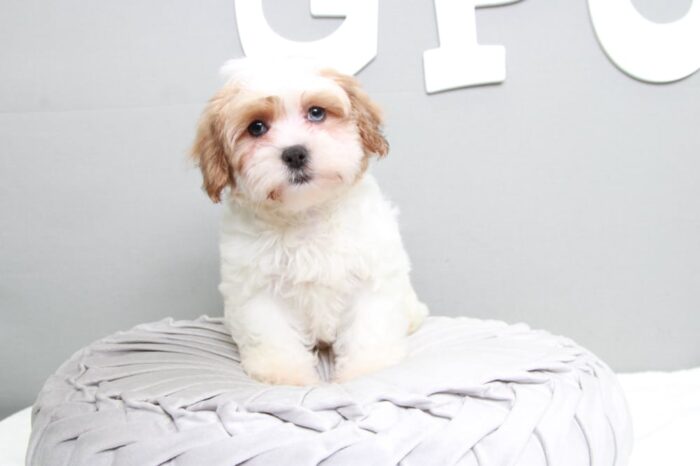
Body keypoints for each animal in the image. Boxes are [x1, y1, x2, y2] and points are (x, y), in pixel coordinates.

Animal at [193, 59, 432, 386]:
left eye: (316, 112)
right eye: (257, 127)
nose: (294, 153)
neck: (307, 215)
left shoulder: (371, 273)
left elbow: (369, 327)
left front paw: (368, 369)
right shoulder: (257, 288)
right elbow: (272, 332)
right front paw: (283, 373)